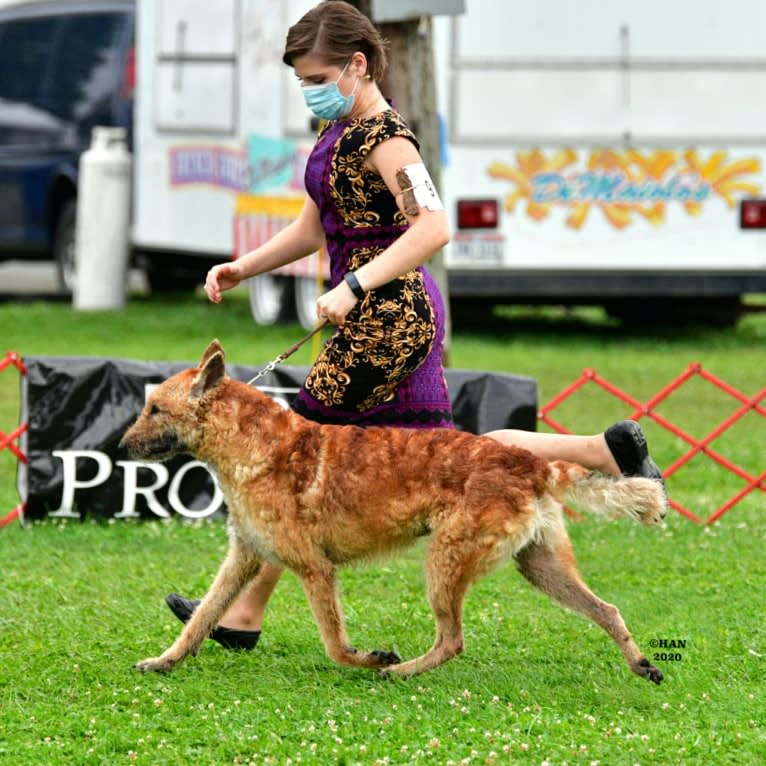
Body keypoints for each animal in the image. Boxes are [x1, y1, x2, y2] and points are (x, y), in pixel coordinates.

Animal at [120, 340, 664, 684]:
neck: (253, 445)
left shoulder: (315, 570)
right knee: (607, 610)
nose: (122, 446)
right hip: (540, 566)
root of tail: (531, 463)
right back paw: (642, 663)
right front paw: (165, 661)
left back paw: (397, 670)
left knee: (453, 640)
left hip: (445, 563)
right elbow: (201, 618)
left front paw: (369, 657)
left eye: (155, 409)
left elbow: (335, 643)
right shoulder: (244, 558)